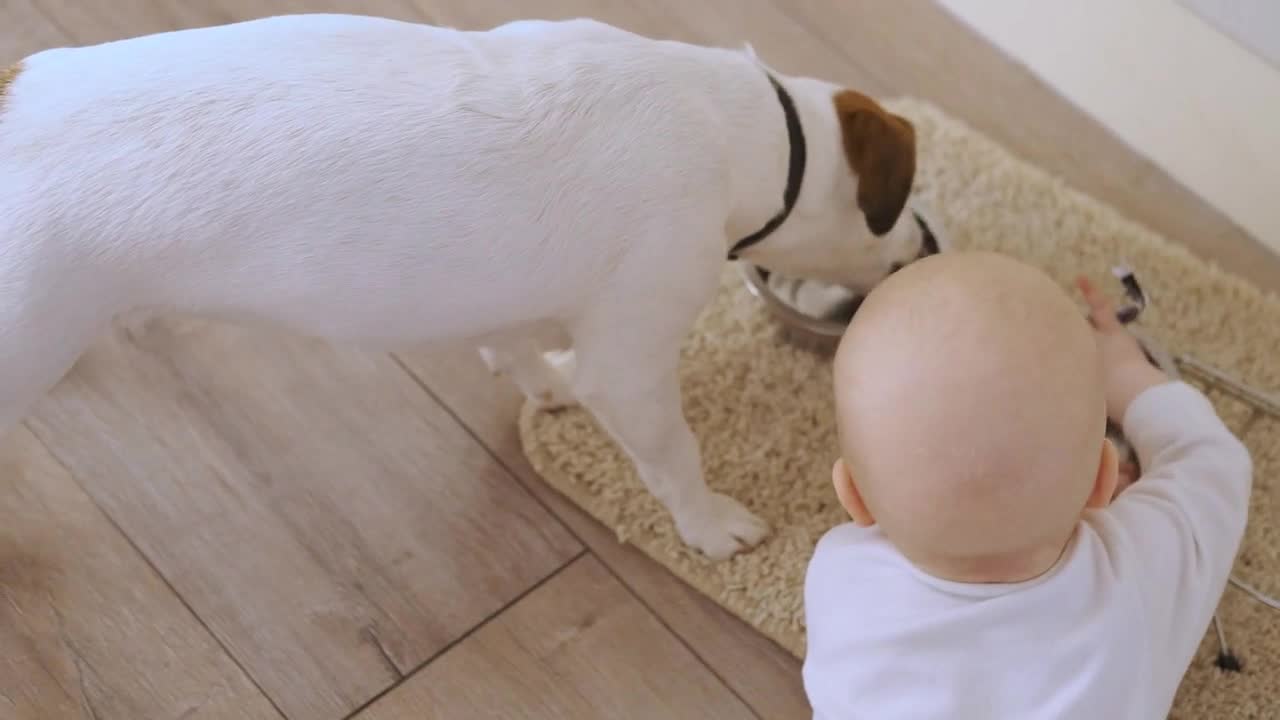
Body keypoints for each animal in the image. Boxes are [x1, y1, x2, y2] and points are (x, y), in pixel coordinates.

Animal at [0, 14, 926, 558]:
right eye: (903, 206)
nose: (922, 248)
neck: (738, 126)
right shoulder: (632, 360)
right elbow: (673, 454)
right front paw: (709, 525)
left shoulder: (508, 294)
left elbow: (516, 345)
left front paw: (543, 384)